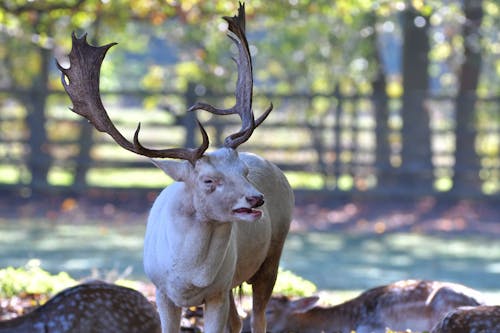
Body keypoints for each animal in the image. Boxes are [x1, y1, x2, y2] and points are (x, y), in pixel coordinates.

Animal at [56, 2, 292, 332]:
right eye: (208, 181)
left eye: (243, 173)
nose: (256, 198)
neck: (188, 279)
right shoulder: (162, 291)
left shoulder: (217, 292)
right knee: (238, 321)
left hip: (271, 257)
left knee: (258, 317)